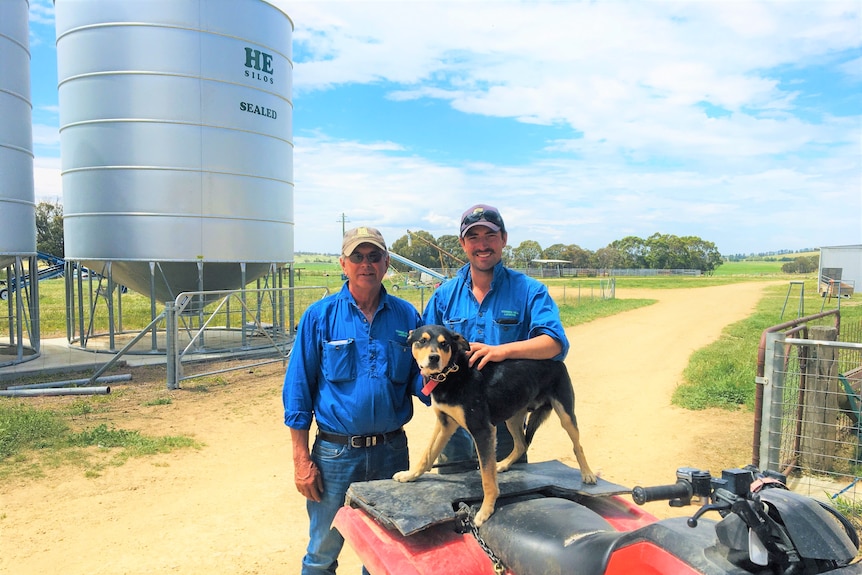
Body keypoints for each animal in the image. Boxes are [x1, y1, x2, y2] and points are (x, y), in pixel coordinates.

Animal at [394, 324, 596, 528]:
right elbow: (427, 454)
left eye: (444, 344)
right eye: (422, 341)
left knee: (577, 446)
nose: (434, 358)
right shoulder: (445, 423)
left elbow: (486, 477)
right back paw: (504, 464)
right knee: (521, 444)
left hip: (565, 414)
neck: (451, 373)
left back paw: (588, 474)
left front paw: (485, 511)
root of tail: (556, 361)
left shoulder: (482, 430)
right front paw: (410, 475)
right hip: (513, 417)